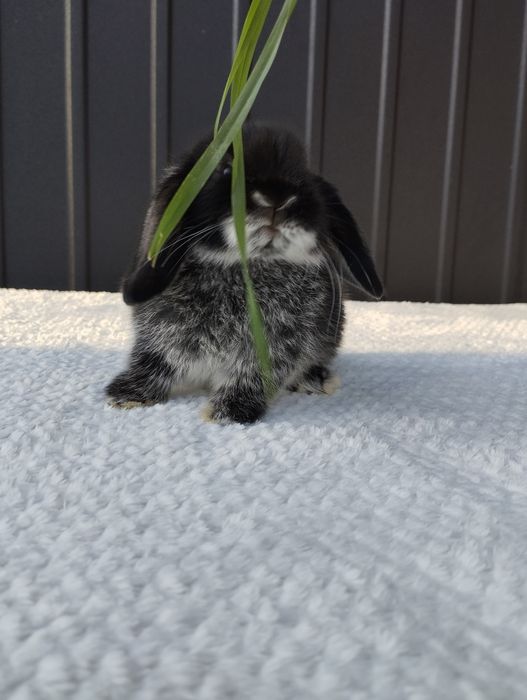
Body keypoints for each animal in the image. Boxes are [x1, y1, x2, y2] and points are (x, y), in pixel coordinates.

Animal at [106, 123, 383, 424]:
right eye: (226, 169)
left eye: (305, 177)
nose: (278, 198)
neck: (244, 267)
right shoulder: (159, 335)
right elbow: (154, 361)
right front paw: (126, 395)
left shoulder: (273, 350)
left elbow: (252, 377)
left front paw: (227, 412)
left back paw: (315, 380)